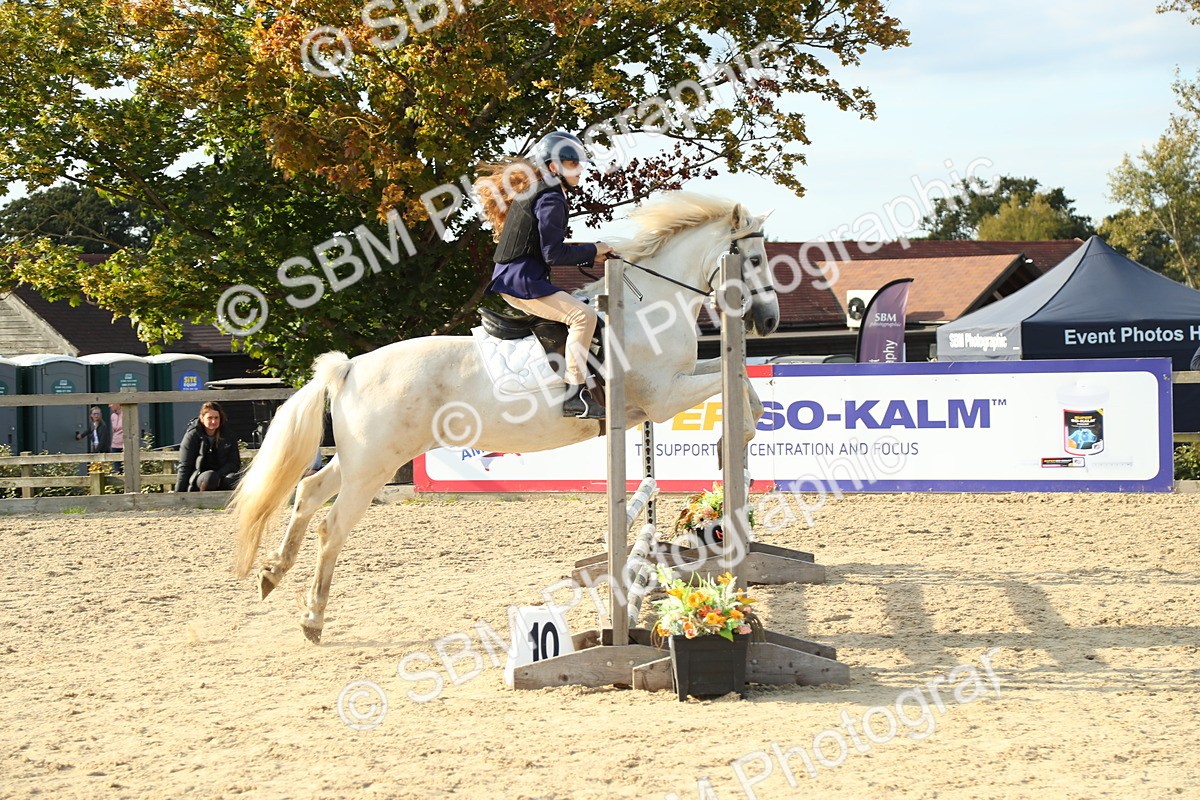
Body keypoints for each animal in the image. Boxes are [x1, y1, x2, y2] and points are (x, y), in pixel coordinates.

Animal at [231, 191, 780, 642]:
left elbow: (744, 383)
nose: (769, 321)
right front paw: (736, 444)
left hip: (362, 459)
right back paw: (312, 618)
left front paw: (737, 450)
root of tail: (348, 367)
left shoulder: (666, 392)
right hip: (373, 465)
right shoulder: (664, 397)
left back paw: (272, 575)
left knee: (308, 492)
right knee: (332, 526)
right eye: (753, 259)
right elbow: (739, 385)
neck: (651, 305)